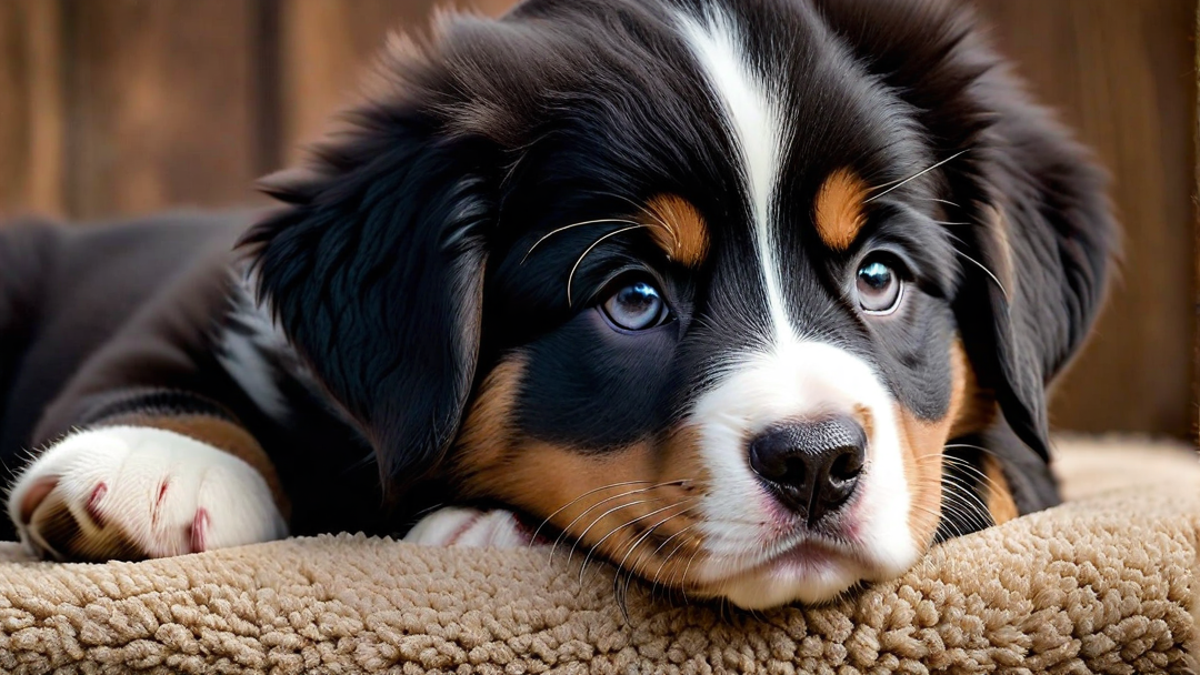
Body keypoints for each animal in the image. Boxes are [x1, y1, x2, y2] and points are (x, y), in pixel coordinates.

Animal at [0, 0, 1113, 610]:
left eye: (879, 277)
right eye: (633, 299)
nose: (816, 462)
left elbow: (987, 474)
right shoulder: (200, 297)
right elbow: (141, 372)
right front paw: (153, 465)